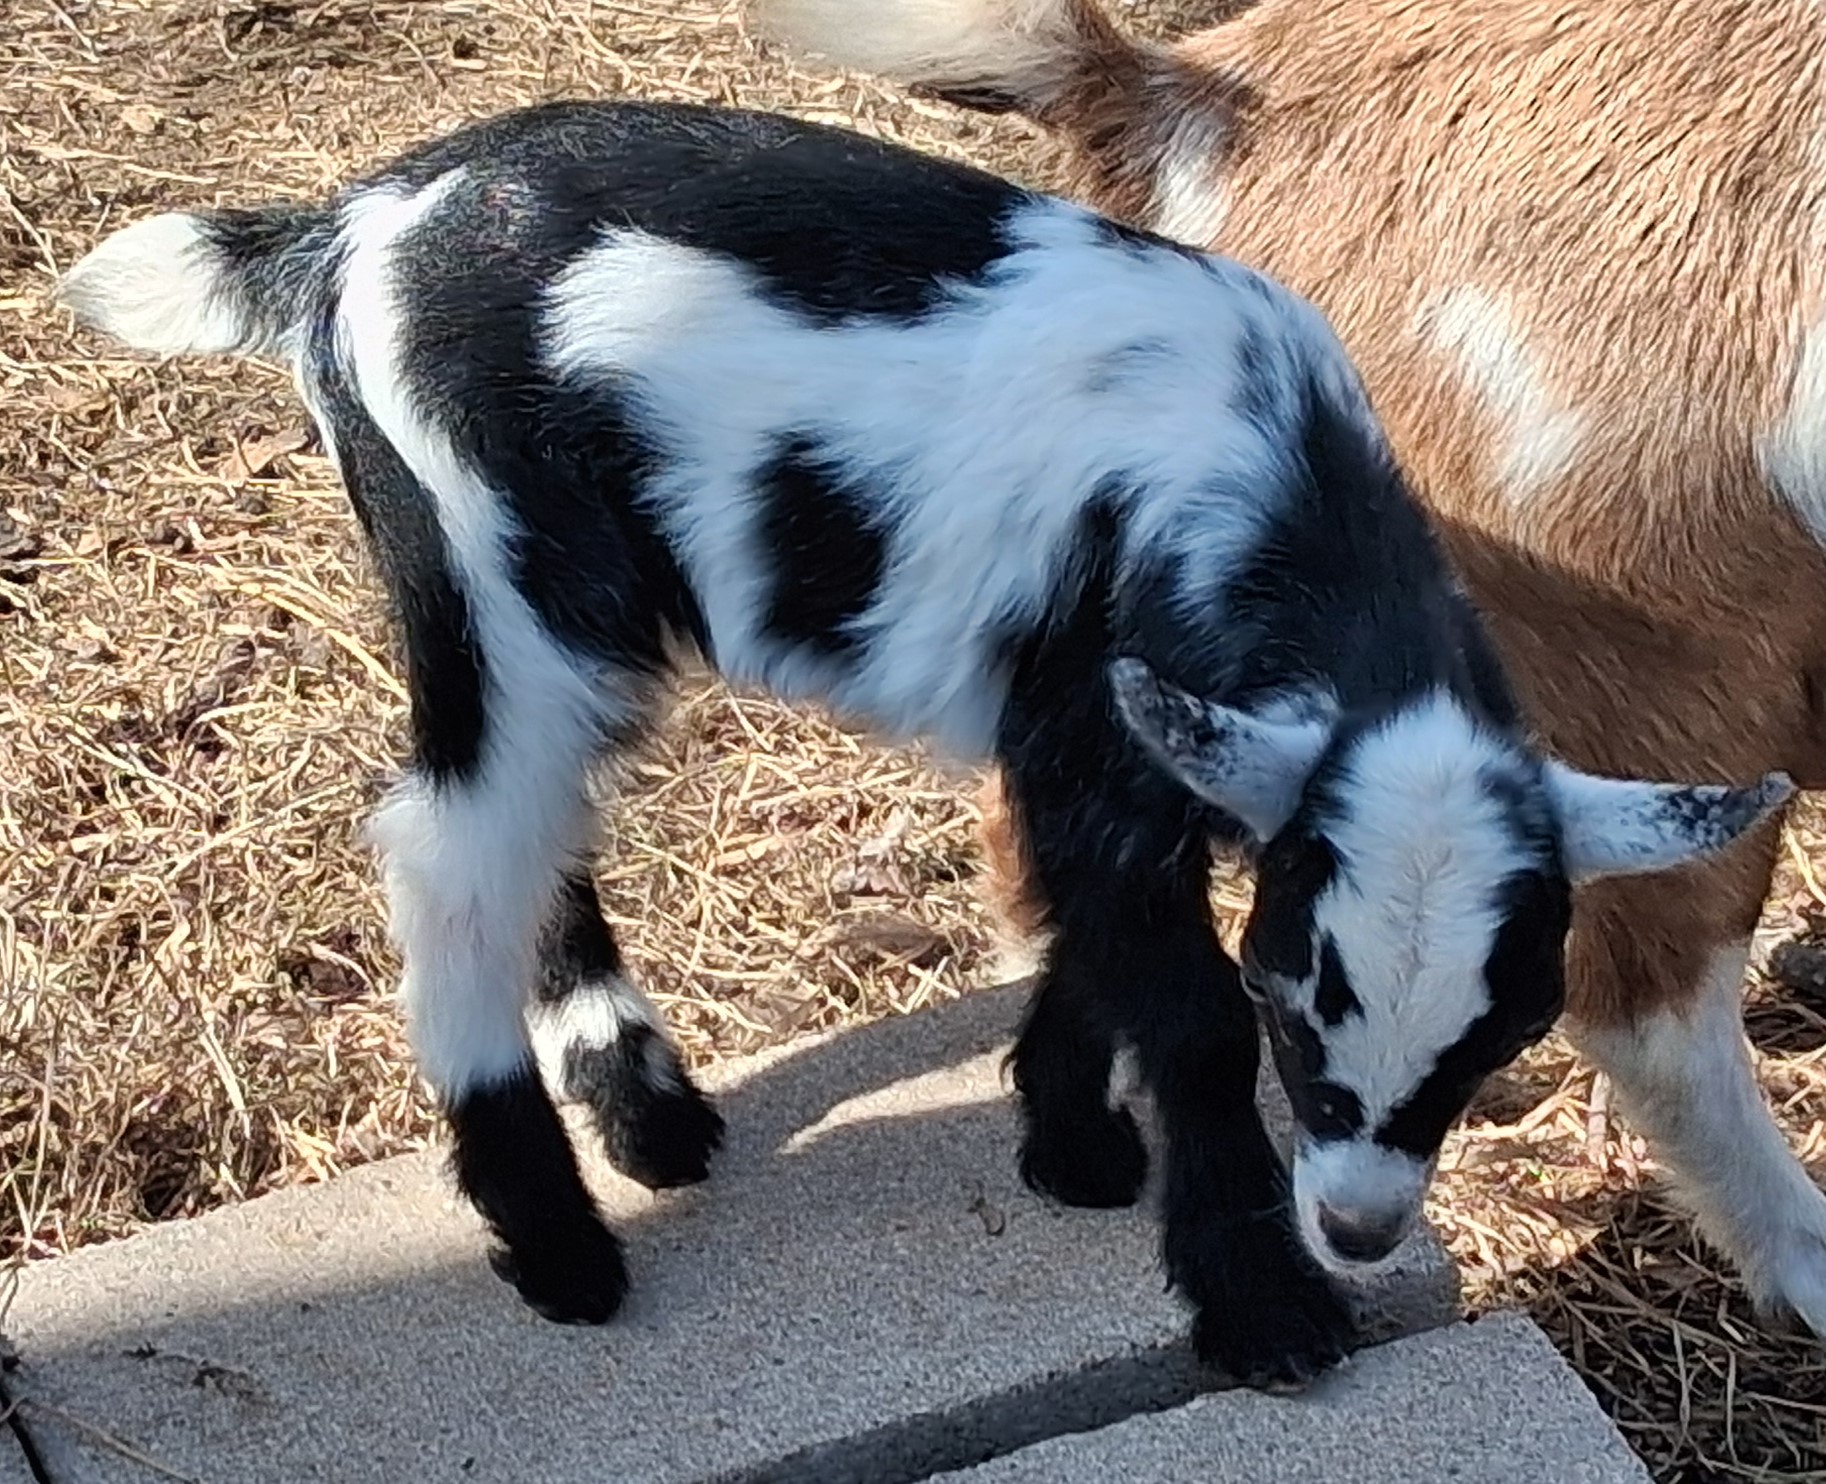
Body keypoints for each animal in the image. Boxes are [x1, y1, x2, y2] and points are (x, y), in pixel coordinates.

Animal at [59, 98, 1782, 1386]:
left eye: (1502, 1038)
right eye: (1299, 1015)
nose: (1358, 1230)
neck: (1275, 504)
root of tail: (355, 225)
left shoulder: (1106, 743)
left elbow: (1096, 935)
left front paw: (1070, 1146)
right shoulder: (1103, 724)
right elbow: (1179, 1006)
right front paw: (1262, 1310)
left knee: (526, 824)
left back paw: (641, 1104)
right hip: (494, 556)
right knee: (453, 845)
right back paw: (558, 1246)